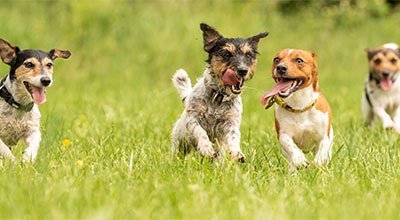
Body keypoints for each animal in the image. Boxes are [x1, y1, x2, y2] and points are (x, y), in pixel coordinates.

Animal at [172, 23, 268, 162]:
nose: (243, 70)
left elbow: (234, 136)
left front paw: (237, 153)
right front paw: (206, 147)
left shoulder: (231, 122)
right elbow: (200, 132)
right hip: (180, 143)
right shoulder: (193, 119)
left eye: (249, 55)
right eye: (226, 53)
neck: (218, 97)